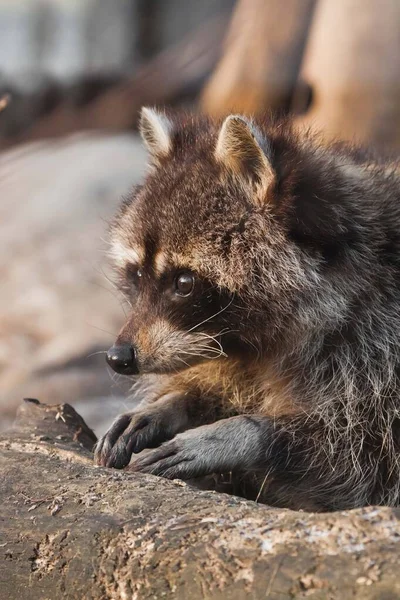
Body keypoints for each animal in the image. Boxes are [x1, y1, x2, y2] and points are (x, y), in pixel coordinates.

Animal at [94, 108, 400, 510]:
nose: (118, 357)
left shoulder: (378, 348)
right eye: (138, 274)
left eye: (183, 283)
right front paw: (175, 403)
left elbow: (360, 459)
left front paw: (243, 434)